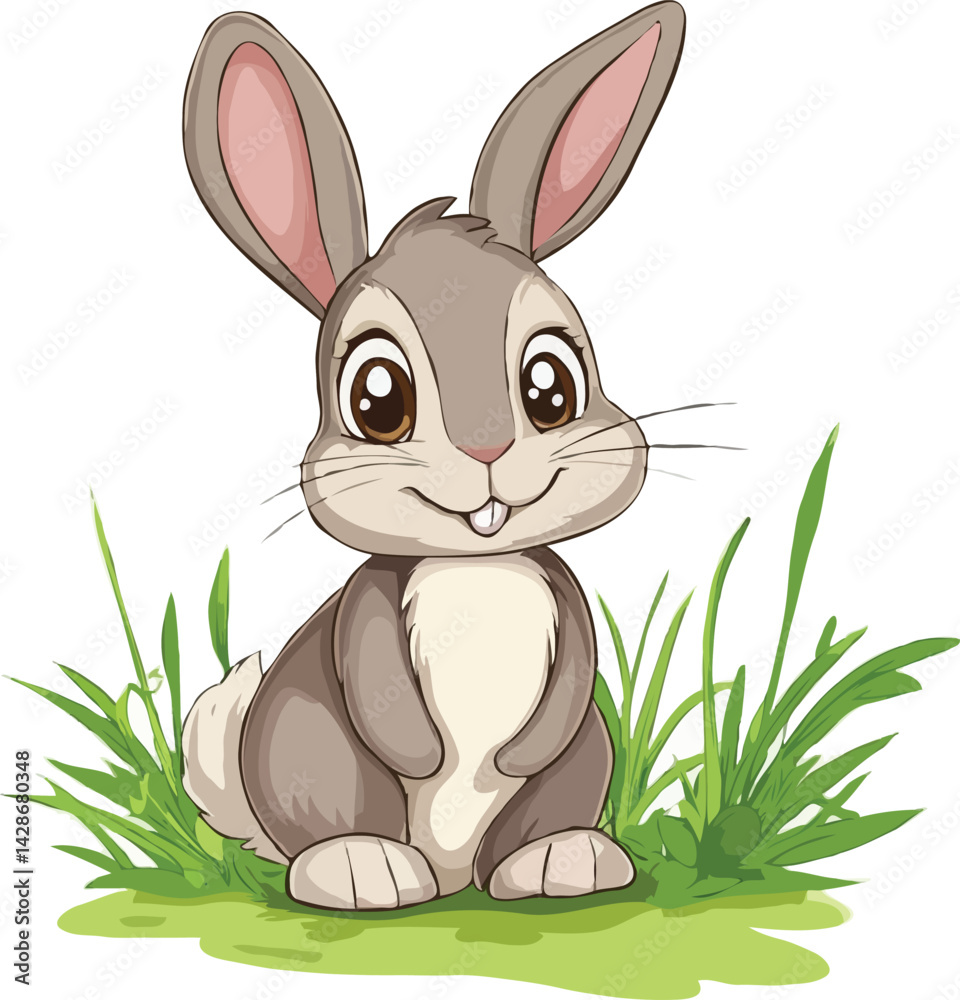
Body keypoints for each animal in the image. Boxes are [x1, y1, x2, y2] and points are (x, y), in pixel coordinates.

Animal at [181, 2, 686, 909]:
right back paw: (363, 868)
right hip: (313, 751)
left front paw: (513, 755)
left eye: (552, 385)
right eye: (377, 399)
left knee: (543, 815)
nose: (487, 447)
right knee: (339, 820)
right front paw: (423, 754)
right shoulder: (370, 604)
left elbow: (571, 677)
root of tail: (454, 879)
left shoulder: (561, 596)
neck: (476, 567)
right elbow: (374, 673)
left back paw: (559, 861)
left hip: (583, 762)